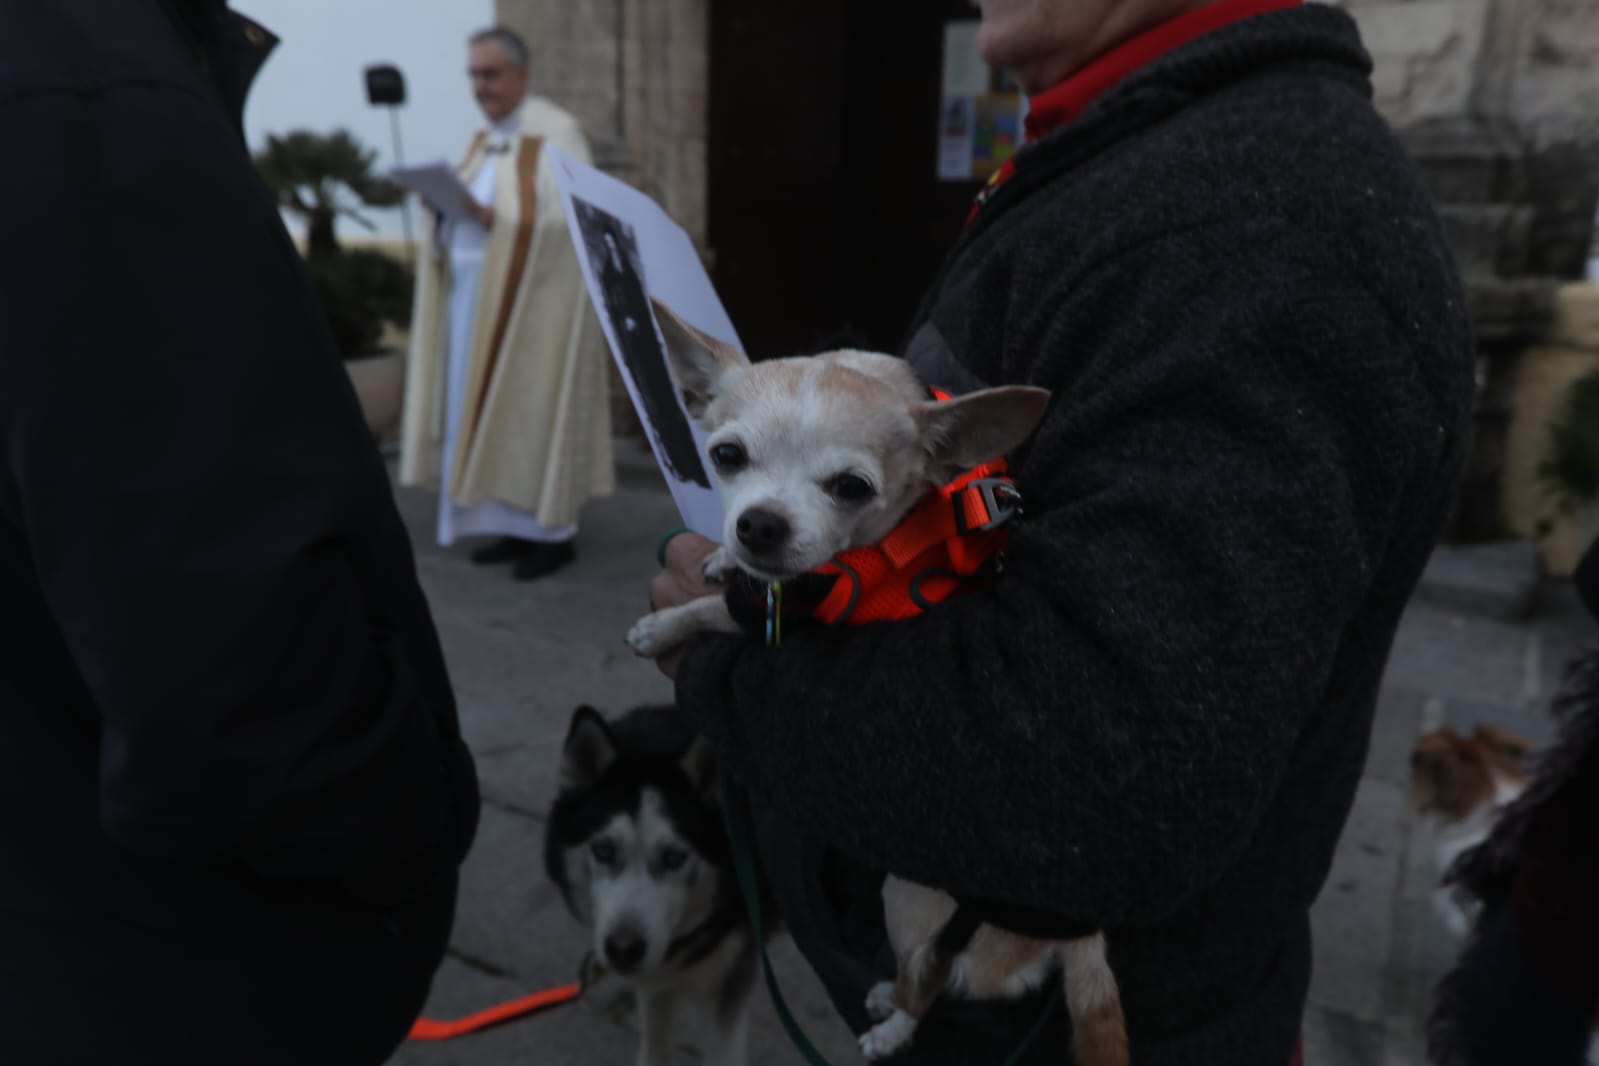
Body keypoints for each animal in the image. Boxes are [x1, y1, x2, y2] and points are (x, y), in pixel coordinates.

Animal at [543, 703, 761, 1061]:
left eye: (674, 857)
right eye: (603, 850)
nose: (623, 949)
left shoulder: (730, 990)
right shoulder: (656, 981)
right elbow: (655, 1048)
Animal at [617, 300, 1132, 1066]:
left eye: (851, 488)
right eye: (726, 456)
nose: (759, 525)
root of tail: (1081, 939)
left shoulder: (811, 619)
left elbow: (721, 615)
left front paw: (665, 625)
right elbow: (739, 582)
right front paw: (721, 560)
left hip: (907, 897)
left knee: (930, 977)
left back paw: (893, 1025)